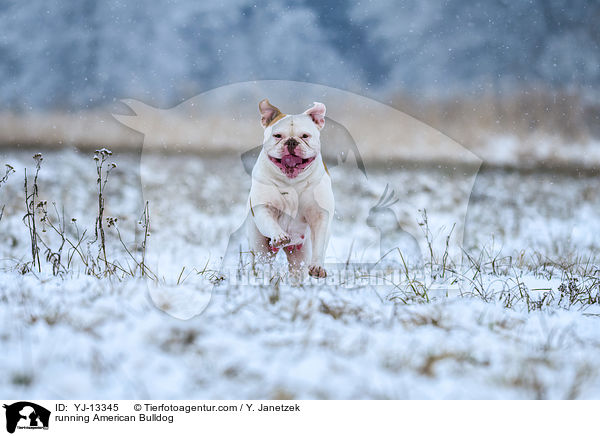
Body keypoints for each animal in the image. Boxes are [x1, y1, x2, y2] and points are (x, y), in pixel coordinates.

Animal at [247, 99, 336, 278]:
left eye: (305, 136)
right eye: (277, 136)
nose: (291, 141)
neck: (292, 181)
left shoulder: (319, 215)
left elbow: (319, 243)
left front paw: (317, 267)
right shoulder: (264, 207)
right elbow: (270, 221)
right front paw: (279, 235)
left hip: (299, 255)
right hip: (260, 245)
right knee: (262, 261)